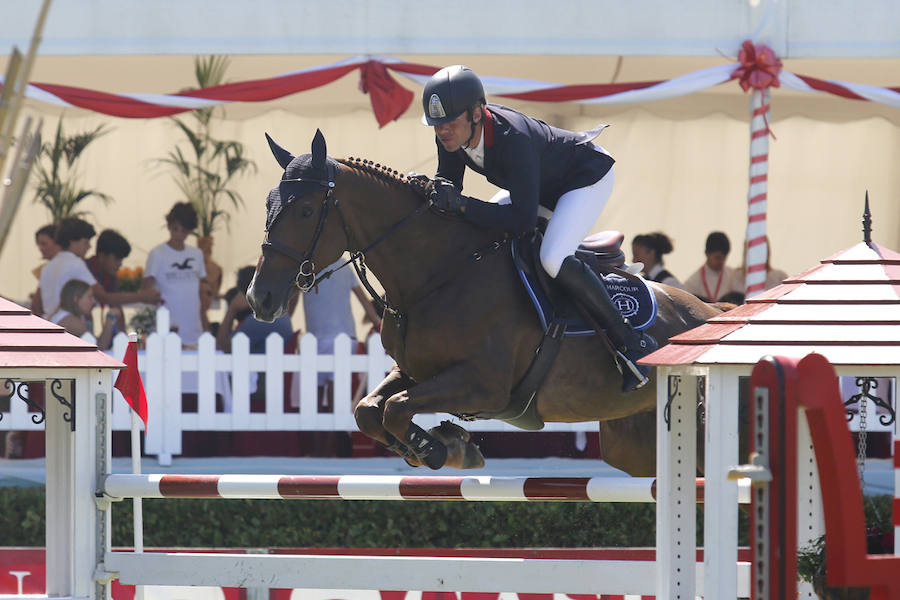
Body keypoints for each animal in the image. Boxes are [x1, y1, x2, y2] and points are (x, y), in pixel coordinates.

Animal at [248, 129, 732, 476]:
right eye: (268, 204)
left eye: (306, 211)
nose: (260, 299)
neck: (441, 272)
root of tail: (712, 311)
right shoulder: (415, 370)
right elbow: (370, 410)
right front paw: (443, 444)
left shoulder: (485, 384)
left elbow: (396, 408)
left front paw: (445, 448)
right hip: (632, 442)